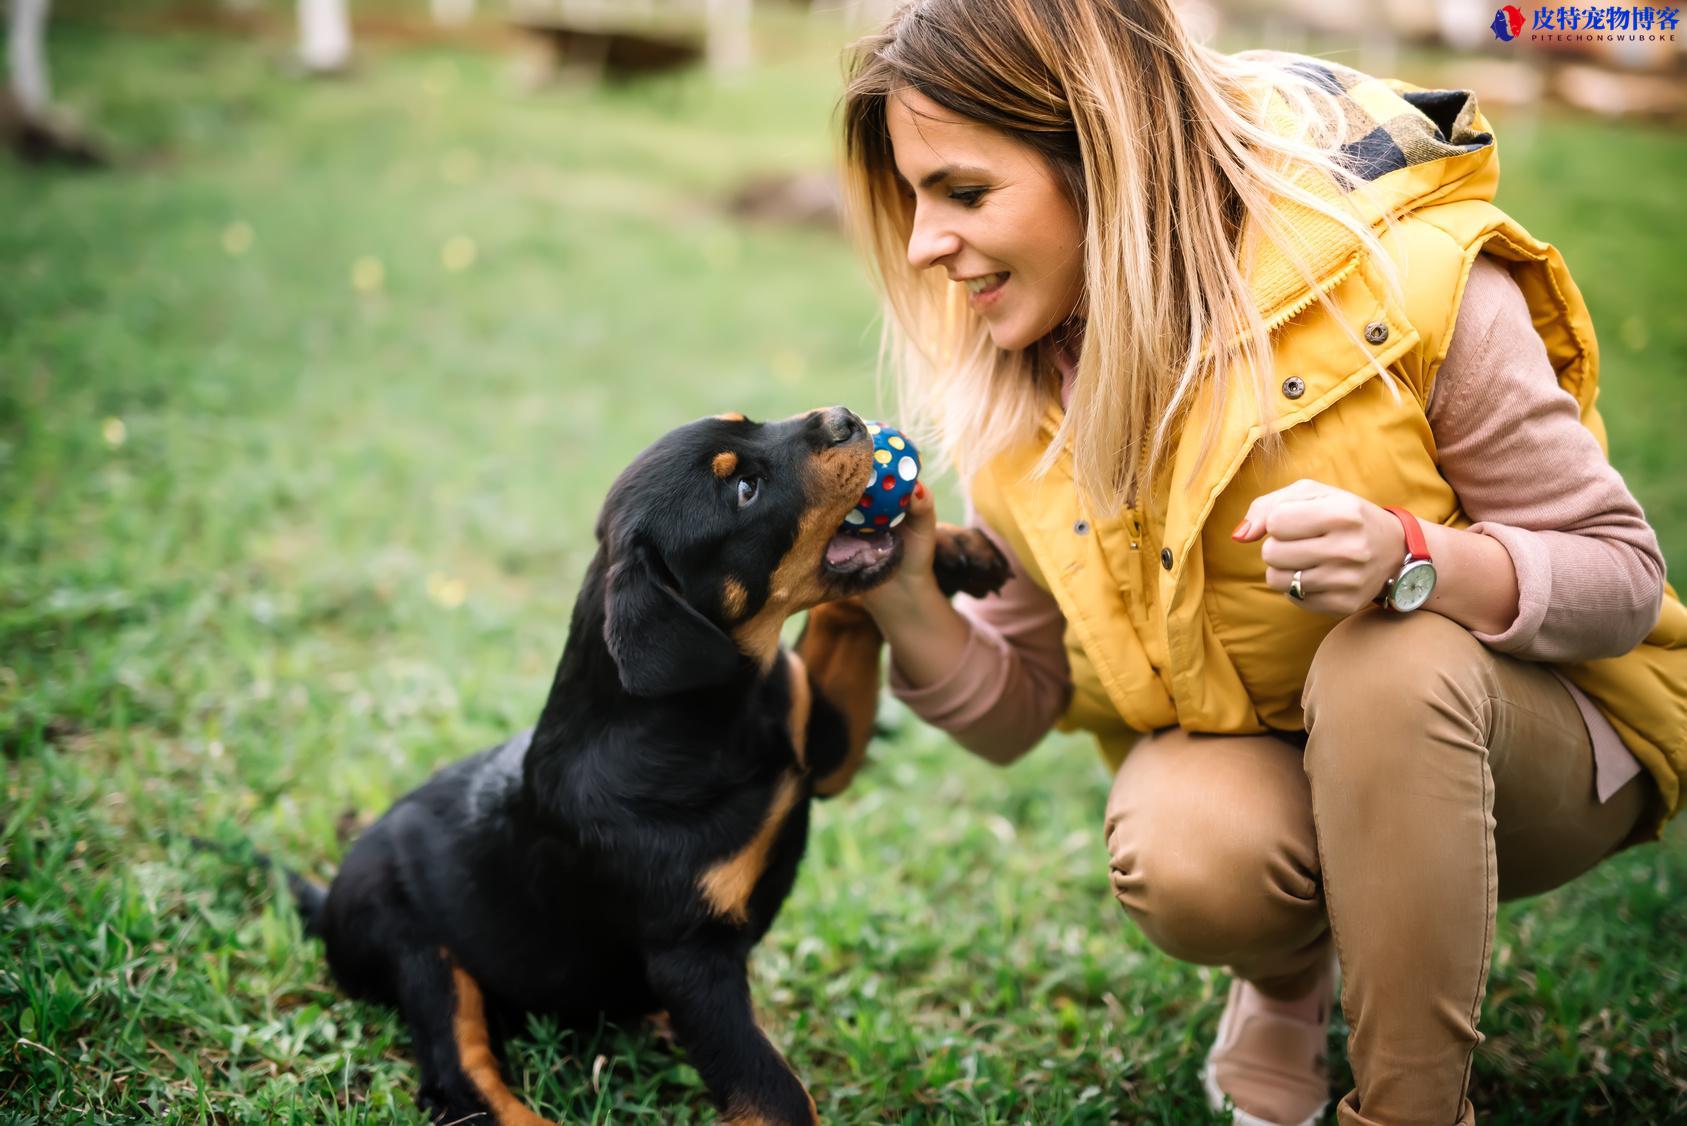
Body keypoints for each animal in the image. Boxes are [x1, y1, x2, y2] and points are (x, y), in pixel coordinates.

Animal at [291, 410, 1005, 1126]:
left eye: (749, 422)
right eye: (743, 490)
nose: (844, 419)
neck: (711, 715)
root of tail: (327, 900)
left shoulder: (822, 748)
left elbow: (847, 614)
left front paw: (953, 548)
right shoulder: (690, 956)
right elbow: (774, 1093)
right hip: (418, 950)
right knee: (460, 1077)